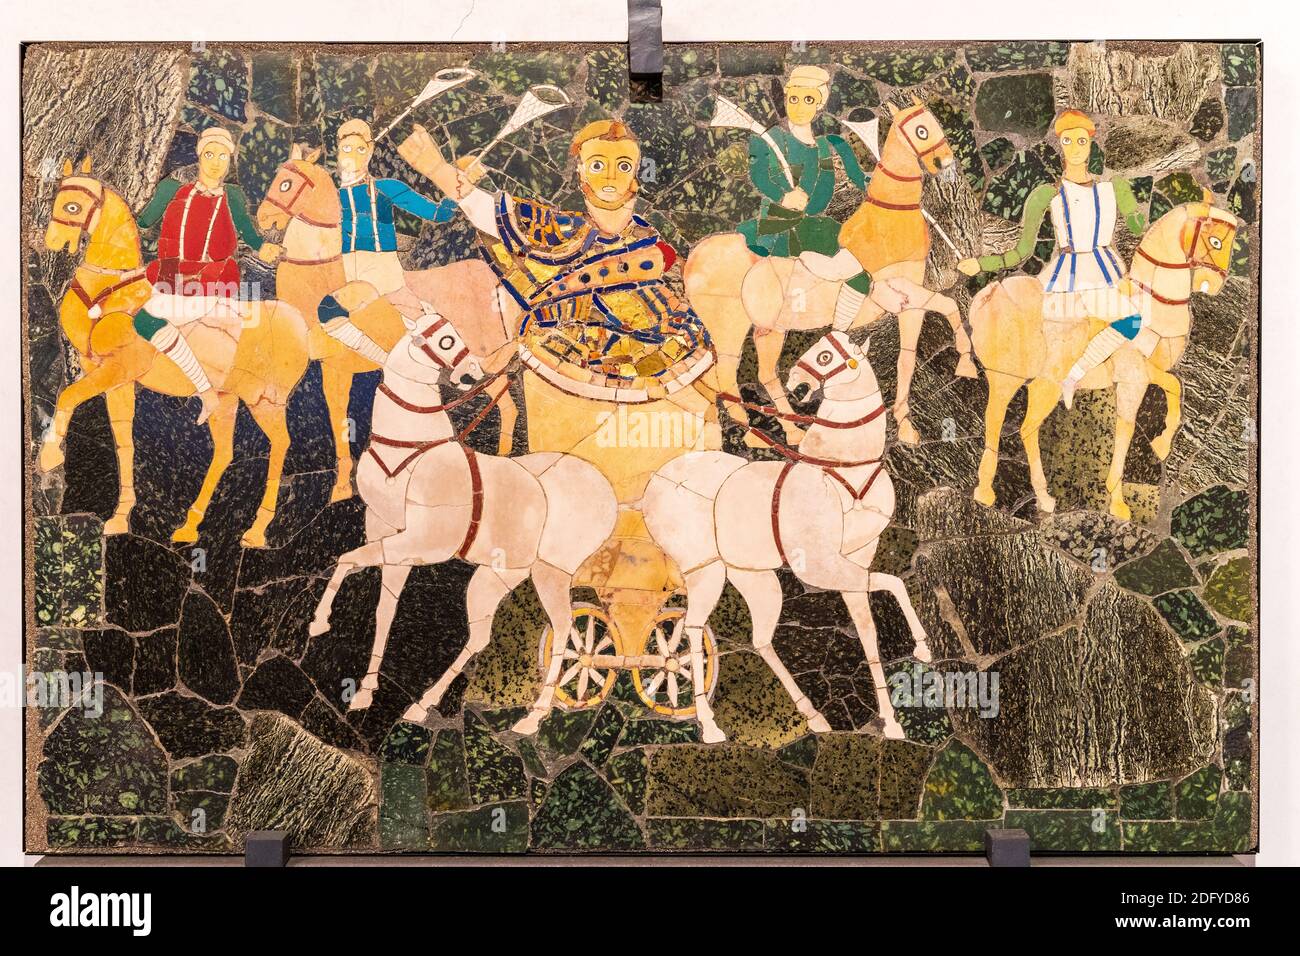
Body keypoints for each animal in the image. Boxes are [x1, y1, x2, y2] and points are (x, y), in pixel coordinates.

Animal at [38, 161, 309, 548]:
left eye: (73, 206)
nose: (52, 242)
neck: (111, 291)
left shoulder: (120, 368)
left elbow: (68, 396)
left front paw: (49, 457)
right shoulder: (116, 380)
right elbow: (124, 443)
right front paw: (119, 517)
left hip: (265, 401)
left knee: (281, 444)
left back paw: (256, 530)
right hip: (228, 400)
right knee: (224, 452)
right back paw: (190, 525)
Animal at [253, 145, 517, 504]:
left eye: (286, 183)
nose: (264, 219)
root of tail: (492, 276)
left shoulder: (341, 366)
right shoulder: (330, 369)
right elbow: (338, 420)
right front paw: (342, 486)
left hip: (479, 353)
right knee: (507, 403)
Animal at [312, 306, 621, 733]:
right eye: (445, 339)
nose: (472, 372)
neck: (413, 449)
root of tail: (605, 490)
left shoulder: (422, 544)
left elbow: (346, 558)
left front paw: (318, 624)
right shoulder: (391, 539)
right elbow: (382, 607)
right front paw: (363, 689)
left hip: (551, 575)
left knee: (562, 630)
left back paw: (532, 719)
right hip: (496, 577)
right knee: (480, 637)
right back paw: (421, 705)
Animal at [637, 329, 925, 738]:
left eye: (825, 356)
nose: (796, 384)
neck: (842, 469)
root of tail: (655, 483)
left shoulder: (854, 561)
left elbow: (874, 622)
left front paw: (897, 710)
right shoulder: (821, 568)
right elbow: (888, 590)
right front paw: (916, 665)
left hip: (756, 579)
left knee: (760, 639)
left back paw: (816, 718)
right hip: (705, 573)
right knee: (693, 627)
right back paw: (709, 727)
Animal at [977, 197, 1237, 520]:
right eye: (1215, 241)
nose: (1211, 284)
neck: (1152, 303)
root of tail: (992, 294)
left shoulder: (1147, 372)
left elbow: (1174, 387)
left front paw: (1162, 445)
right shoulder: (1132, 381)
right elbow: (1126, 429)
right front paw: (1117, 501)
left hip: (1023, 382)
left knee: (1010, 423)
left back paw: (1019, 495)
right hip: (1022, 381)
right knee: (1010, 424)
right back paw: (1003, 494)